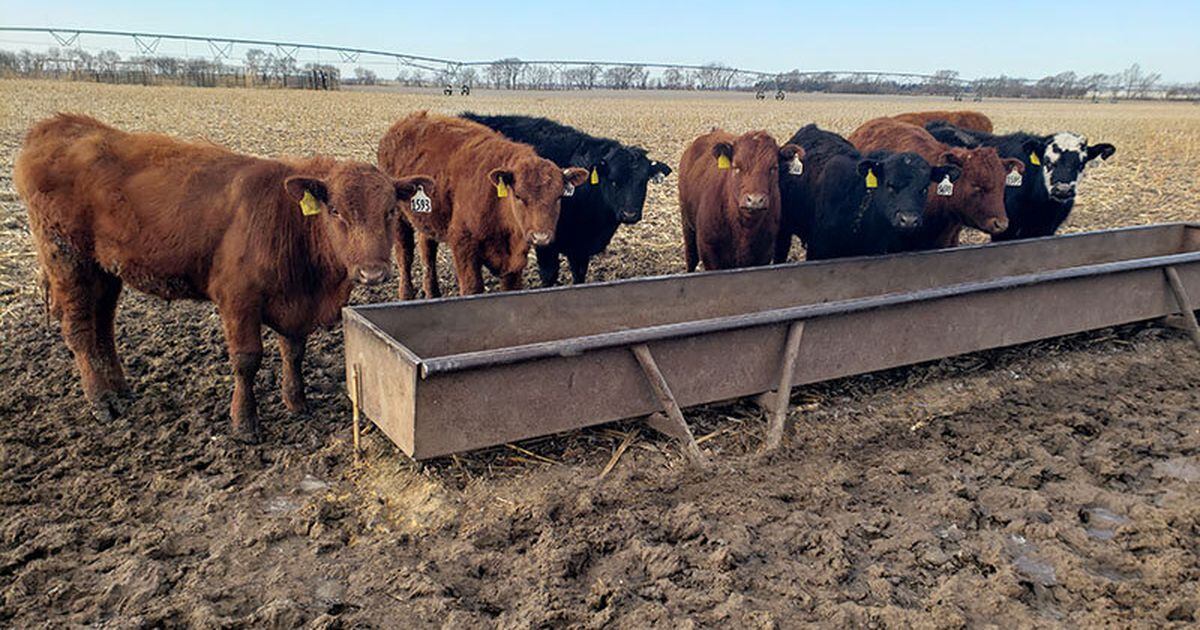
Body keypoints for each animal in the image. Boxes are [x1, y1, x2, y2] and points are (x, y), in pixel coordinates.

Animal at [13, 114, 433, 440]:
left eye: (390, 211)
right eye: (335, 211)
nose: (373, 271)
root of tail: (59, 125)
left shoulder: (296, 303)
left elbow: (293, 351)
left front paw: (296, 402)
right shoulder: (237, 298)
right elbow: (247, 360)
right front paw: (244, 423)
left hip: (104, 271)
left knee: (102, 328)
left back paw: (119, 390)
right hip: (69, 261)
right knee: (80, 331)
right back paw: (101, 401)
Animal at [377, 112, 589, 298]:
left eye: (559, 196)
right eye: (518, 196)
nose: (541, 236)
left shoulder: (513, 265)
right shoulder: (463, 246)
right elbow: (472, 289)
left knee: (427, 251)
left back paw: (433, 293)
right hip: (399, 219)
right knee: (405, 256)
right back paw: (406, 295)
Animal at [460, 113, 672, 286]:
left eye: (643, 182)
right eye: (613, 181)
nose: (630, 214)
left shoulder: (580, 247)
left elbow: (579, 275)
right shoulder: (545, 241)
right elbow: (549, 275)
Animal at [678, 129, 803, 271]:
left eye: (774, 168)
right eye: (736, 166)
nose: (755, 200)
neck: (744, 230)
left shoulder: (764, 254)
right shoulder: (709, 253)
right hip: (687, 223)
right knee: (691, 257)